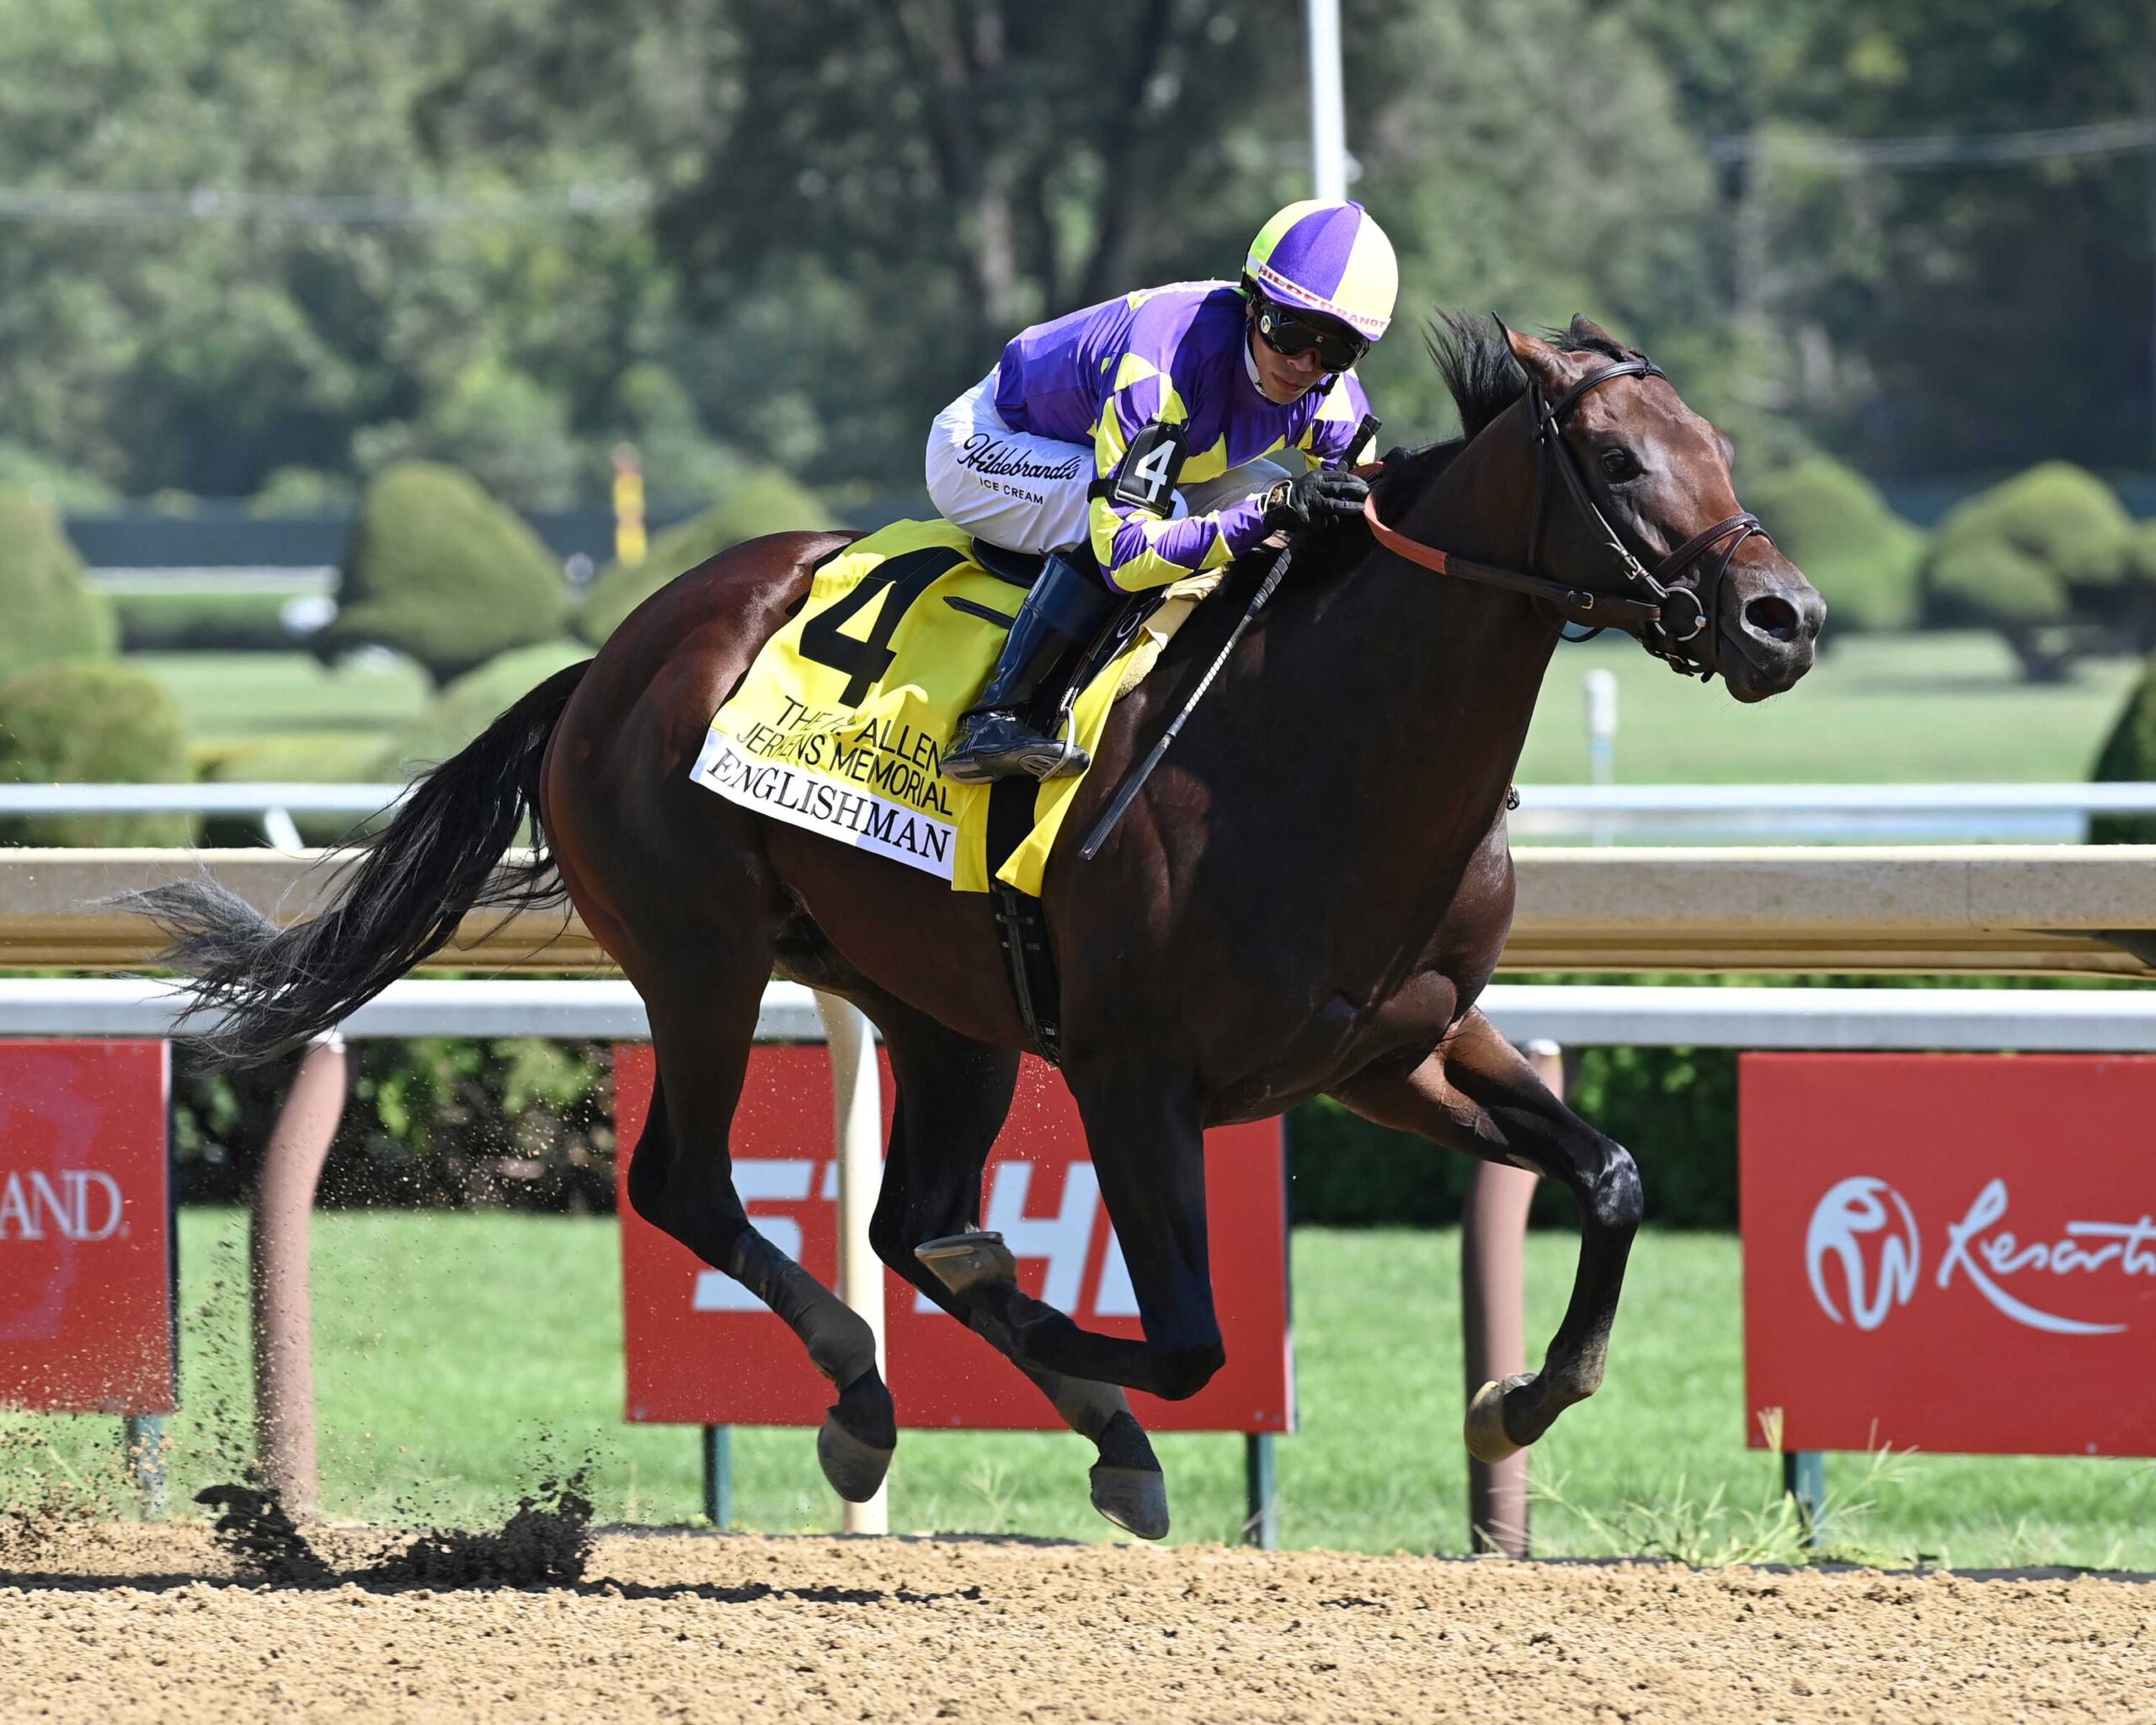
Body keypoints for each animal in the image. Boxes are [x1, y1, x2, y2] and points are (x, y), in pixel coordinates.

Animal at [133, 313, 1823, 1540]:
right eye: (1618, 457)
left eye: (1718, 445)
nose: (1785, 619)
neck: (1328, 744)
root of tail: (612, 654)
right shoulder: (1138, 1076)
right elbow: (1189, 1336)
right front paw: (1038, 1320)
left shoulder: (1395, 1050)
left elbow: (1611, 1176)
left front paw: (1517, 1398)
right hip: (703, 954)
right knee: (691, 1183)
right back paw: (869, 1394)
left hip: (946, 1012)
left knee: (891, 1216)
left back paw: (1015, 1403)